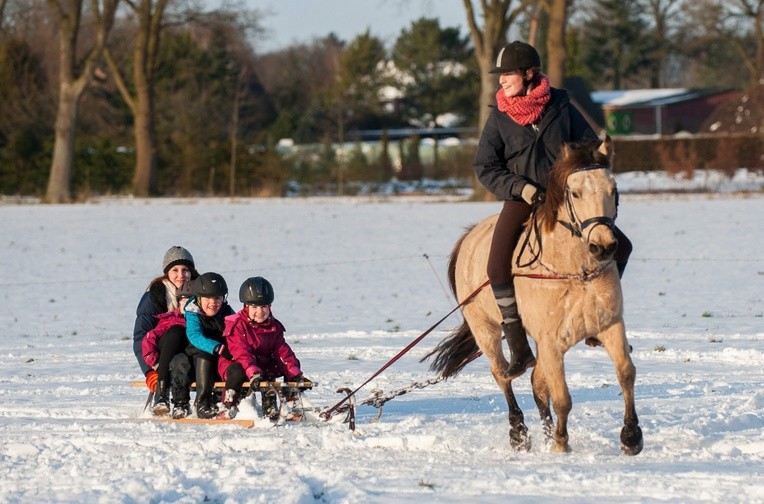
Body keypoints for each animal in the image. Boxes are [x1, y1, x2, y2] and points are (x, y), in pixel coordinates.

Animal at [426, 136, 640, 454]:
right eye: (575, 193)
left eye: (613, 189)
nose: (602, 246)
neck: (574, 270)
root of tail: (469, 237)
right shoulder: (551, 343)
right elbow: (562, 397)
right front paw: (561, 445)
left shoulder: (610, 325)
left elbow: (626, 373)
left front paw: (631, 437)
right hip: (486, 330)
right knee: (502, 374)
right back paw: (519, 434)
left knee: (537, 384)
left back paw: (546, 433)